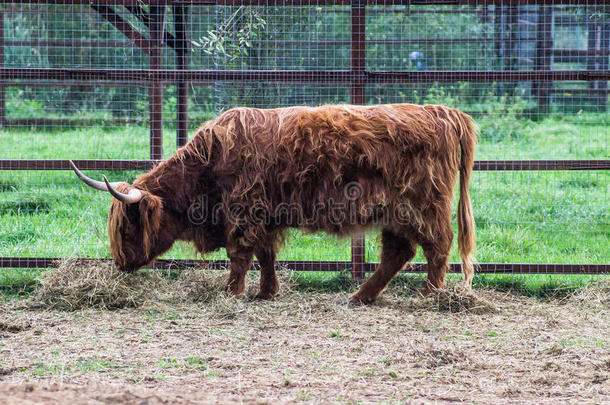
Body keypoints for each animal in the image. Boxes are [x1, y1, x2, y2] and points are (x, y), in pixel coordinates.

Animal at [71, 102, 478, 302]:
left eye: (127, 225)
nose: (121, 264)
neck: (207, 168)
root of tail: (445, 113)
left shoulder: (243, 212)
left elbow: (239, 255)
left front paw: (231, 294)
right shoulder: (264, 216)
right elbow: (266, 255)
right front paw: (267, 292)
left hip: (422, 204)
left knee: (437, 245)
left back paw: (430, 295)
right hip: (394, 212)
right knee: (398, 253)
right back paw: (360, 297)